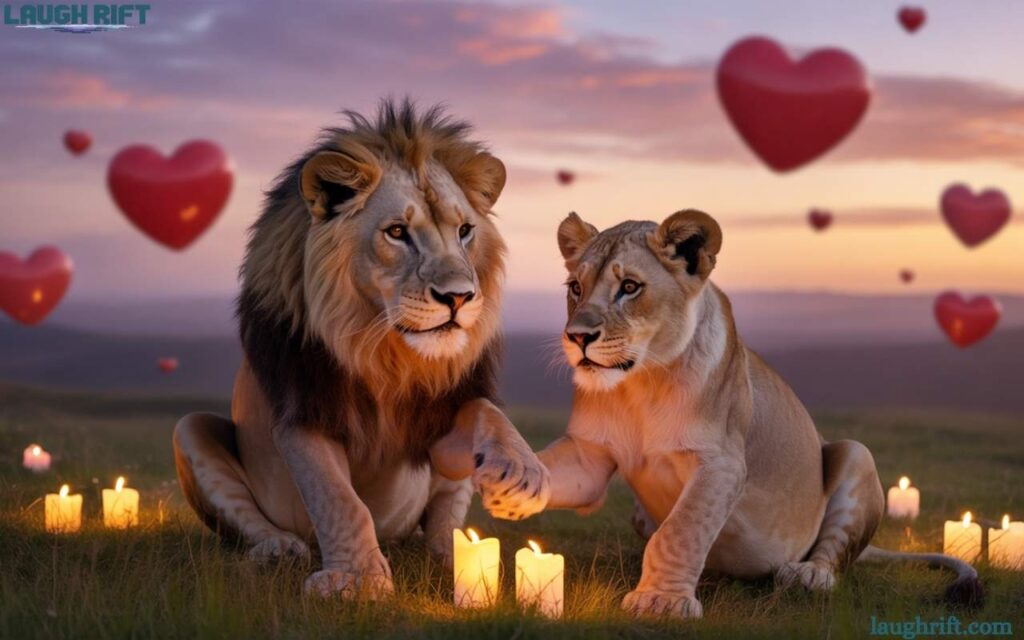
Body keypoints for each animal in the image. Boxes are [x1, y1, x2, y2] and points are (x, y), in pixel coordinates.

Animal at [172, 100, 549, 598]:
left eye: (466, 230)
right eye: (397, 232)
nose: (460, 297)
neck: (383, 351)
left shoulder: (439, 417)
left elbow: (487, 410)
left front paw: (523, 473)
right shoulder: (304, 410)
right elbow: (339, 500)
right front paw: (360, 579)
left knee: (442, 522)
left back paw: (459, 556)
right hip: (189, 429)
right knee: (250, 522)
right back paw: (278, 550)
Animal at [488, 209, 982, 618]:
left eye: (629, 287)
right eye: (575, 288)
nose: (577, 337)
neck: (640, 387)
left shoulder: (721, 463)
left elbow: (682, 530)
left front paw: (660, 600)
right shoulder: (590, 455)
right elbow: (553, 470)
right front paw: (510, 482)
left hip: (855, 454)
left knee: (835, 553)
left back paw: (808, 574)